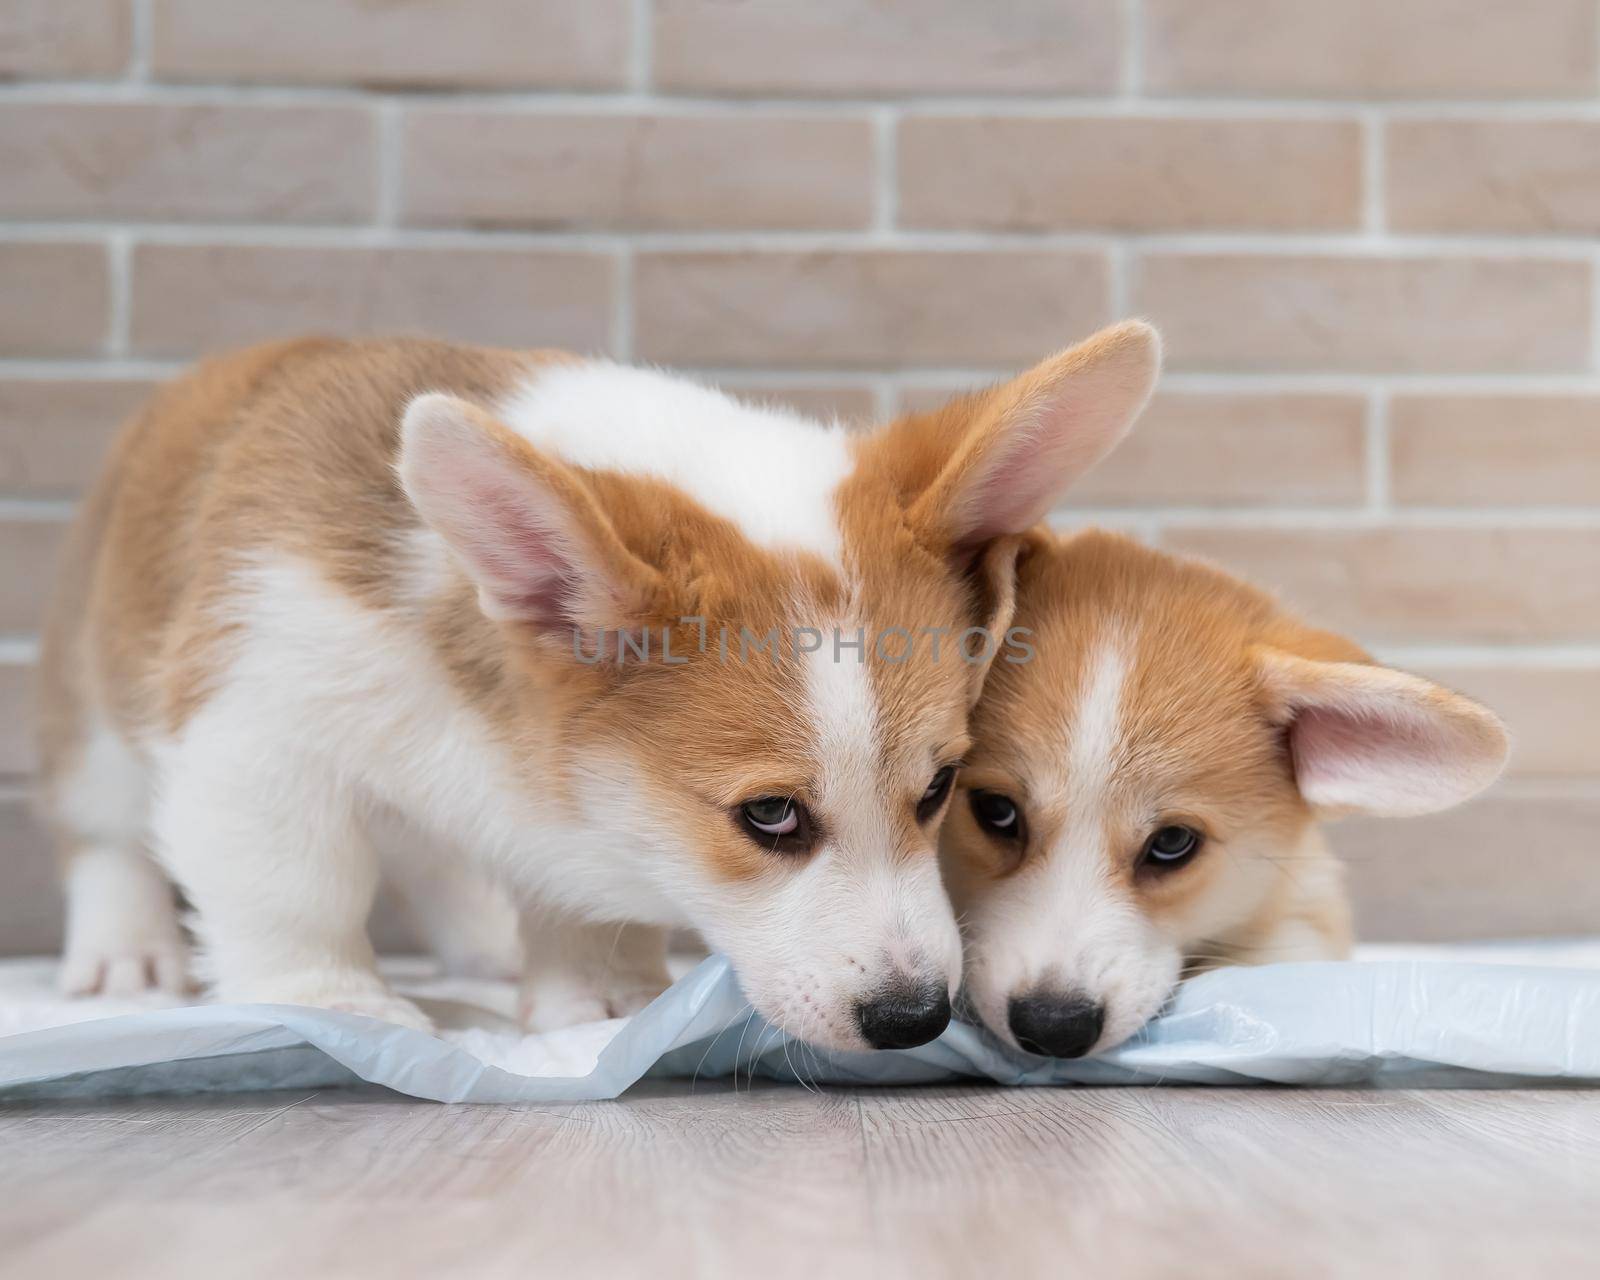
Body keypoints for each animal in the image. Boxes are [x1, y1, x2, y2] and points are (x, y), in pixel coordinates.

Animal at [37, 323, 1164, 1049]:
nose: (914, 1019)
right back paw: (127, 955)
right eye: (769, 816)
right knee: (103, 828)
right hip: (96, 706)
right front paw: (333, 1004)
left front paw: (607, 1000)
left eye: (937, 791)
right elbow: (296, 888)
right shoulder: (259, 733)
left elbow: (584, 899)